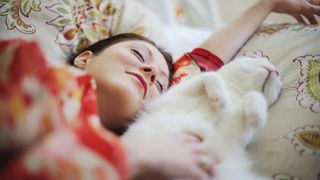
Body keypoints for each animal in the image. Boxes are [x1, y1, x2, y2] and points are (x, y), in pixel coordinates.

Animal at [124, 57, 282, 179]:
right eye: (263, 59)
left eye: (278, 86)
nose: (277, 71)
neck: (234, 92)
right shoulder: (174, 95)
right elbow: (210, 75)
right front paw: (219, 98)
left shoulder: (234, 136)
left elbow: (255, 97)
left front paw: (257, 115)